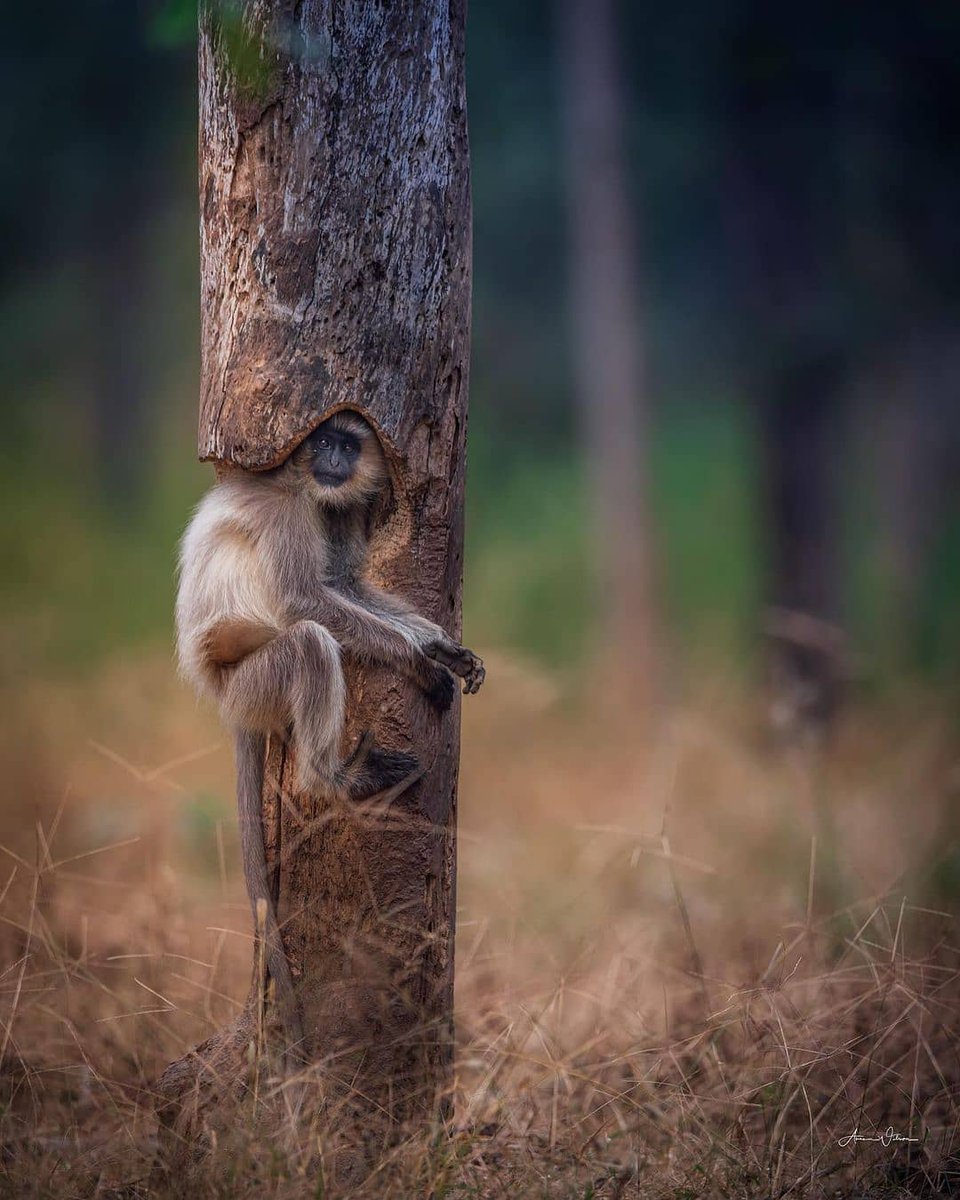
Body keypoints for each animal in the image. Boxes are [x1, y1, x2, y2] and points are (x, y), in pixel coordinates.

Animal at [175, 409, 484, 1061]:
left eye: (346, 443)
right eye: (321, 441)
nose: (334, 461)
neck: (296, 480)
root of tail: (224, 698)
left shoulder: (331, 510)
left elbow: (342, 582)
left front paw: (440, 647)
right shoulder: (289, 511)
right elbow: (307, 599)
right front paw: (419, 662)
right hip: (255, 681)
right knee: (311, 642)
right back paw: (336, 778)